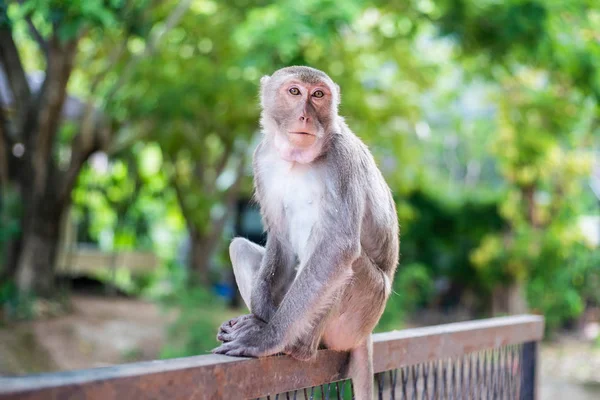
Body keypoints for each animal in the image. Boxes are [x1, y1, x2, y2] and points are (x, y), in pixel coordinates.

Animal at [213, 66, 400, 400]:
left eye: (318, 95)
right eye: (294, 92)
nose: (305, 116)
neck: (296, 160)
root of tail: (366, 334)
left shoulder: (342, 160)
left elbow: (338, 247)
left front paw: (268, 336)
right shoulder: (261, 157)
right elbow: (280, 240)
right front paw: (260, 318)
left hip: (359, 316)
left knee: (342, 260)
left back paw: (300, 347)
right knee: (240, 248)